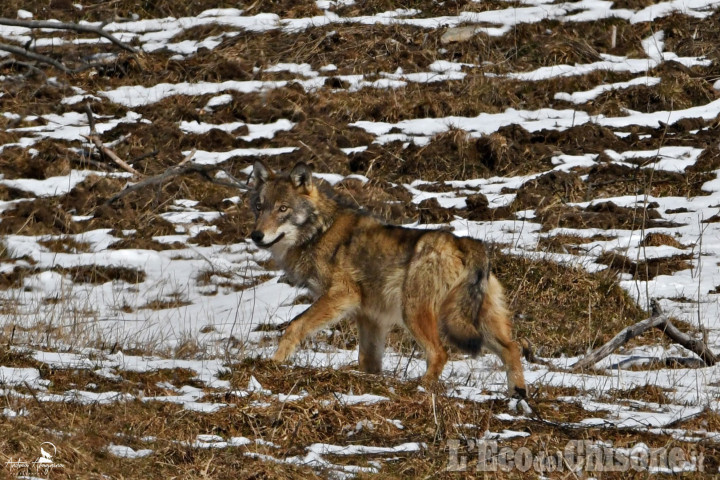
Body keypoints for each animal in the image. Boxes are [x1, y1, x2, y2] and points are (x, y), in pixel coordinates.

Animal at [250, 161, 524, 398]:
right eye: (259, 208)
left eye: (283, 209)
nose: (256, 235)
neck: (320, 231)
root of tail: (468, 243)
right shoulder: (370, 318)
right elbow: (368, 362)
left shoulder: (343, 294)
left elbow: (294, 325)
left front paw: (273, 363)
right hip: (474, 321)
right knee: (512, 348)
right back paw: (518, 395)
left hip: (414, 313)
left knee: (440, 354)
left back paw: (420, 388)